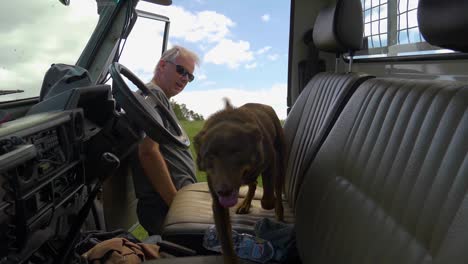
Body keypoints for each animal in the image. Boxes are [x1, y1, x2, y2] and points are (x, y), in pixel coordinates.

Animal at [193, 99, 286, 264]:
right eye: (209, 156)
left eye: (237, 152)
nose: (223, 191)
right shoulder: (217, 202)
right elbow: (225, 239)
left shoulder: (270, 161)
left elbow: (267, 200)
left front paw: (270, 203)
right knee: (253, 184)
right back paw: (245, 204)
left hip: (280, 162)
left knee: (276, 191)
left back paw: (279, 217)